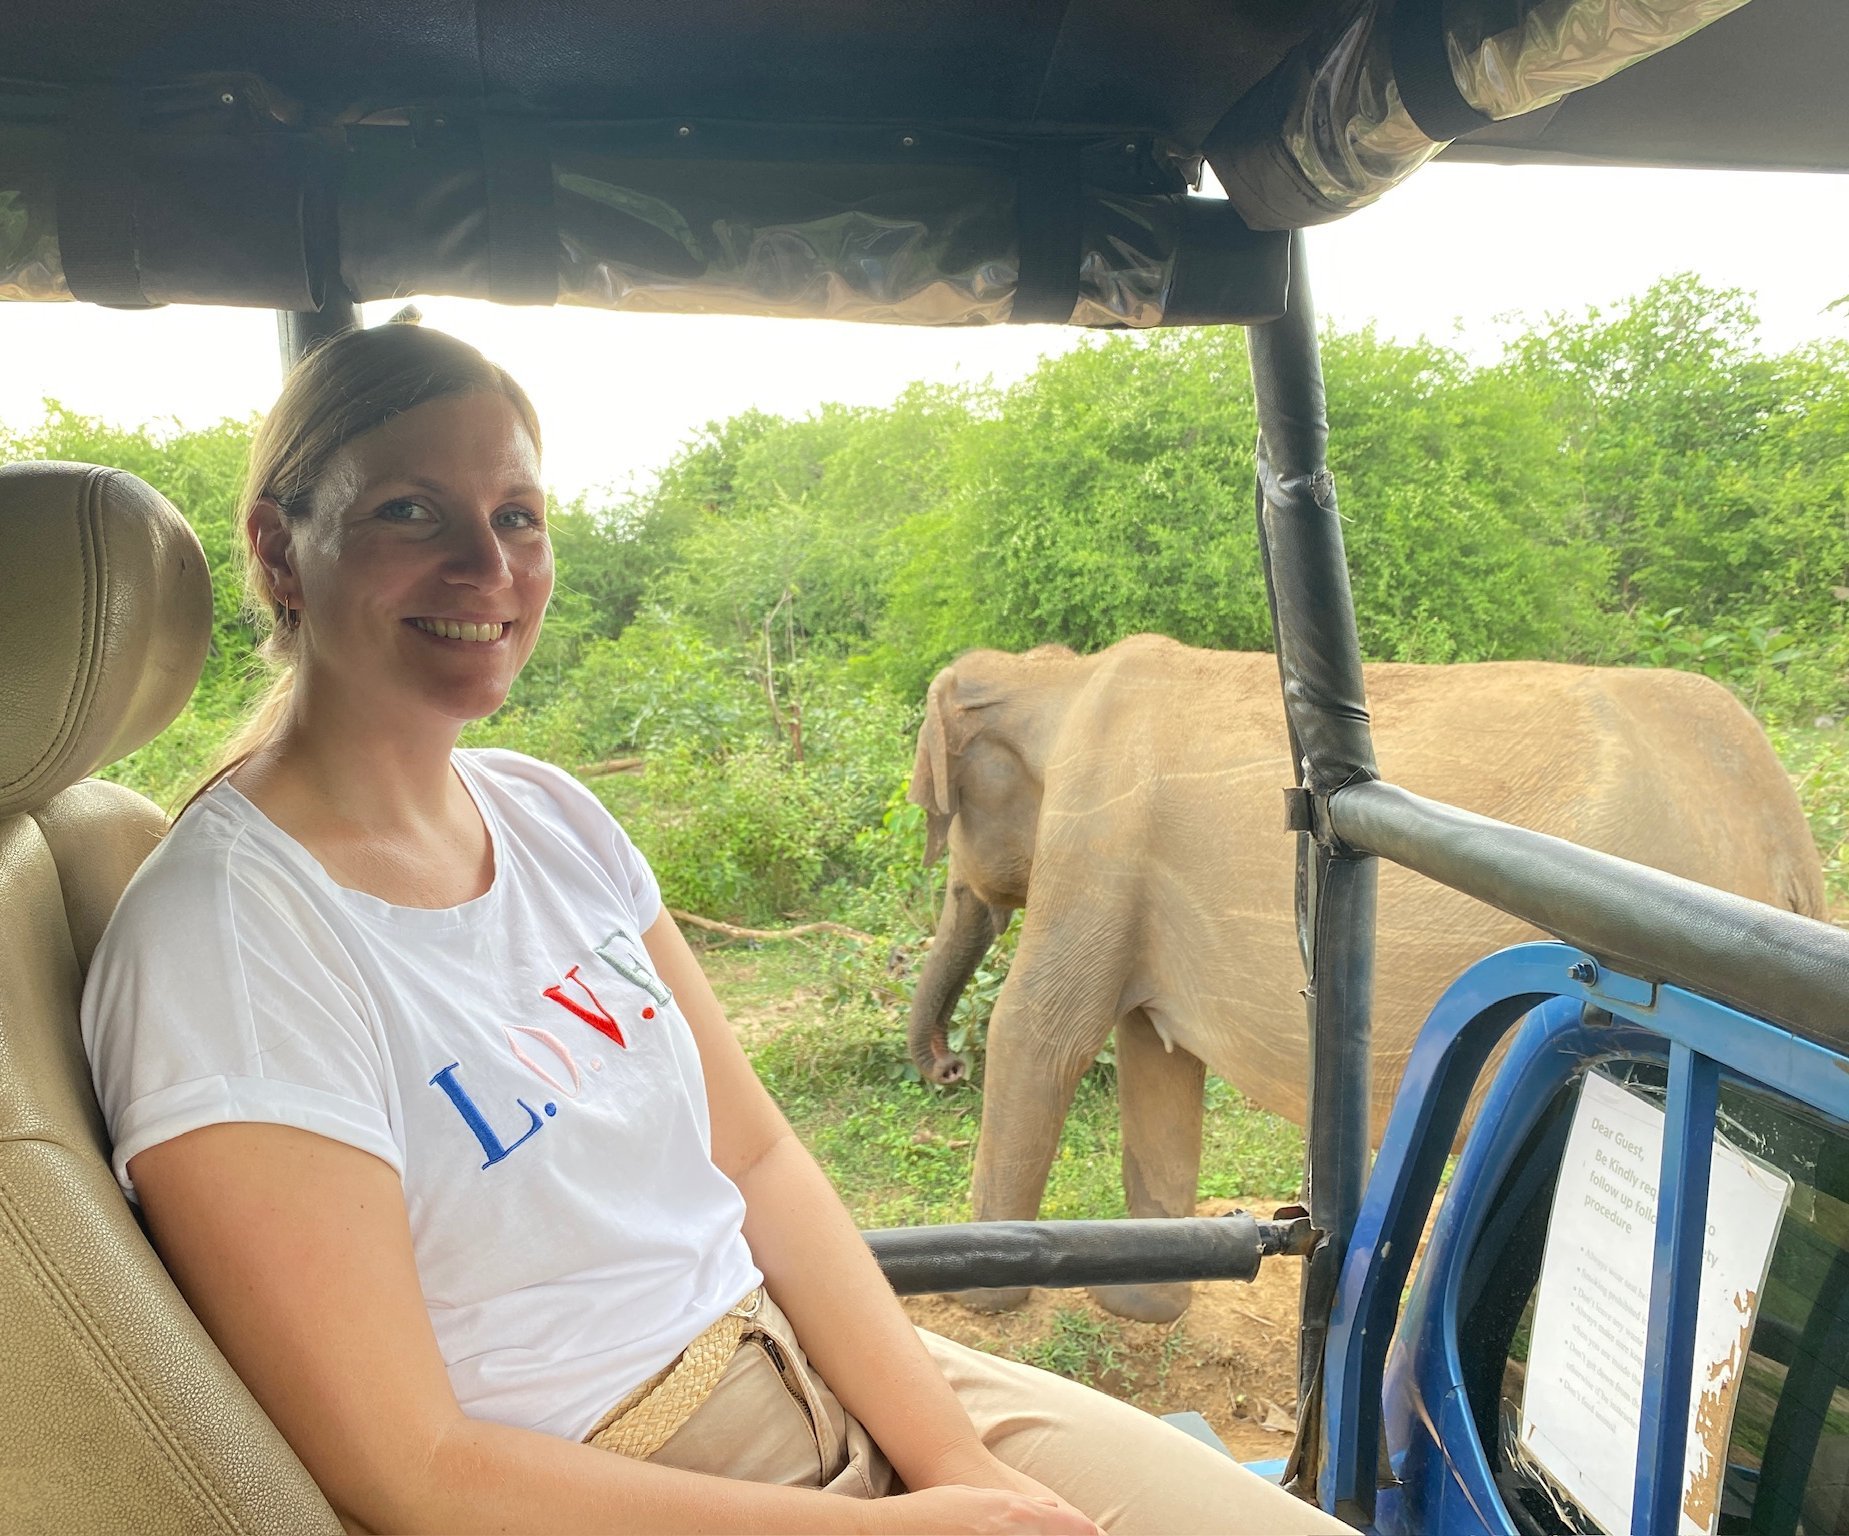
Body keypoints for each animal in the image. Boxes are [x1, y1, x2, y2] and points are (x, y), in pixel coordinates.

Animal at [902, 635, 1826, 1323]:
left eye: (936, 819)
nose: (944, 1069)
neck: (1056, 676)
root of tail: (1782, 839)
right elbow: (1155, 1055)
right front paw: (1136, 1308)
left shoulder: (1094, 833)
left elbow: (1037, 1030)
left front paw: (976, 1305)